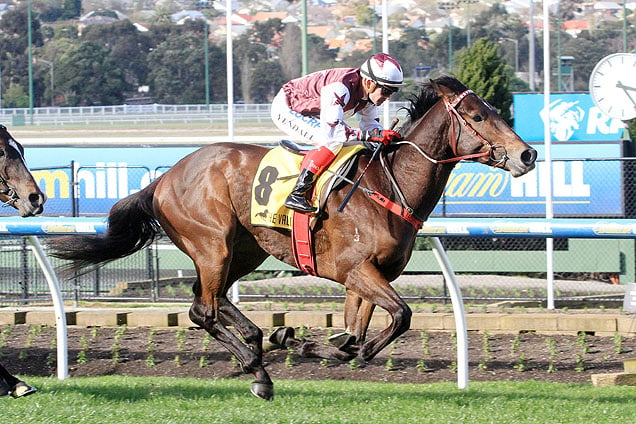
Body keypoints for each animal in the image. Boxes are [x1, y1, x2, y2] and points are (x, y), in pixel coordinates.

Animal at [47, 77, 536, 400]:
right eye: (478, 116)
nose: (527, 154)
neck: (387, 184)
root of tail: (163, 178)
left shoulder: (367, 278)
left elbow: (353, 335)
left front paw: (309, 343)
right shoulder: (357, 270)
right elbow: (400, 318)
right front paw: (322, 347)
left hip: (245, 249)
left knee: (214, 298)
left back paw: (259, 345)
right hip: (213, 243)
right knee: (202, 309)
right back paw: (255, 369)